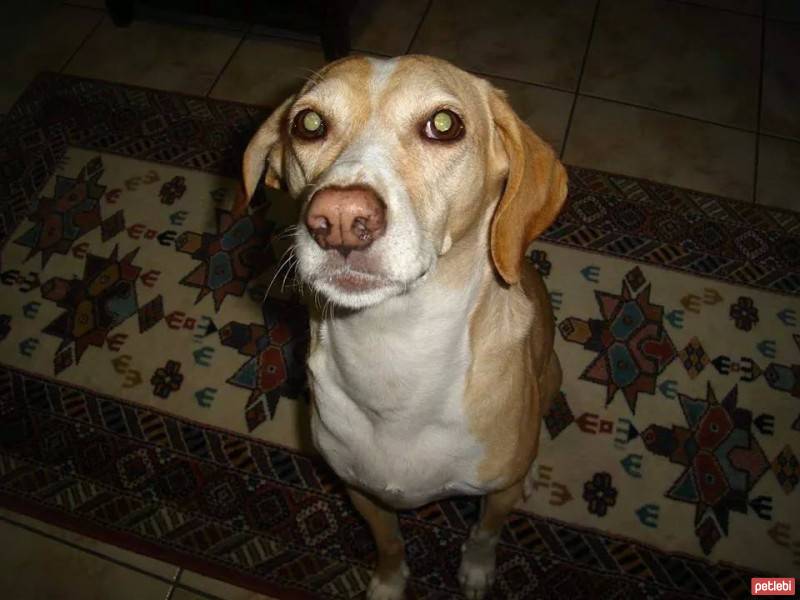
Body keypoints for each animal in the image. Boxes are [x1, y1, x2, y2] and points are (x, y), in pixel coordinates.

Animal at [242, 56, 568, 600]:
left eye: (444, 124)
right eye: (308, 123)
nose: (340, 217)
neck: (393, 351)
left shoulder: (495, 498)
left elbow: (485, 533)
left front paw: (476, 572)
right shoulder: (360, 492)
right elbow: (391, 543)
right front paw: (390, 584)